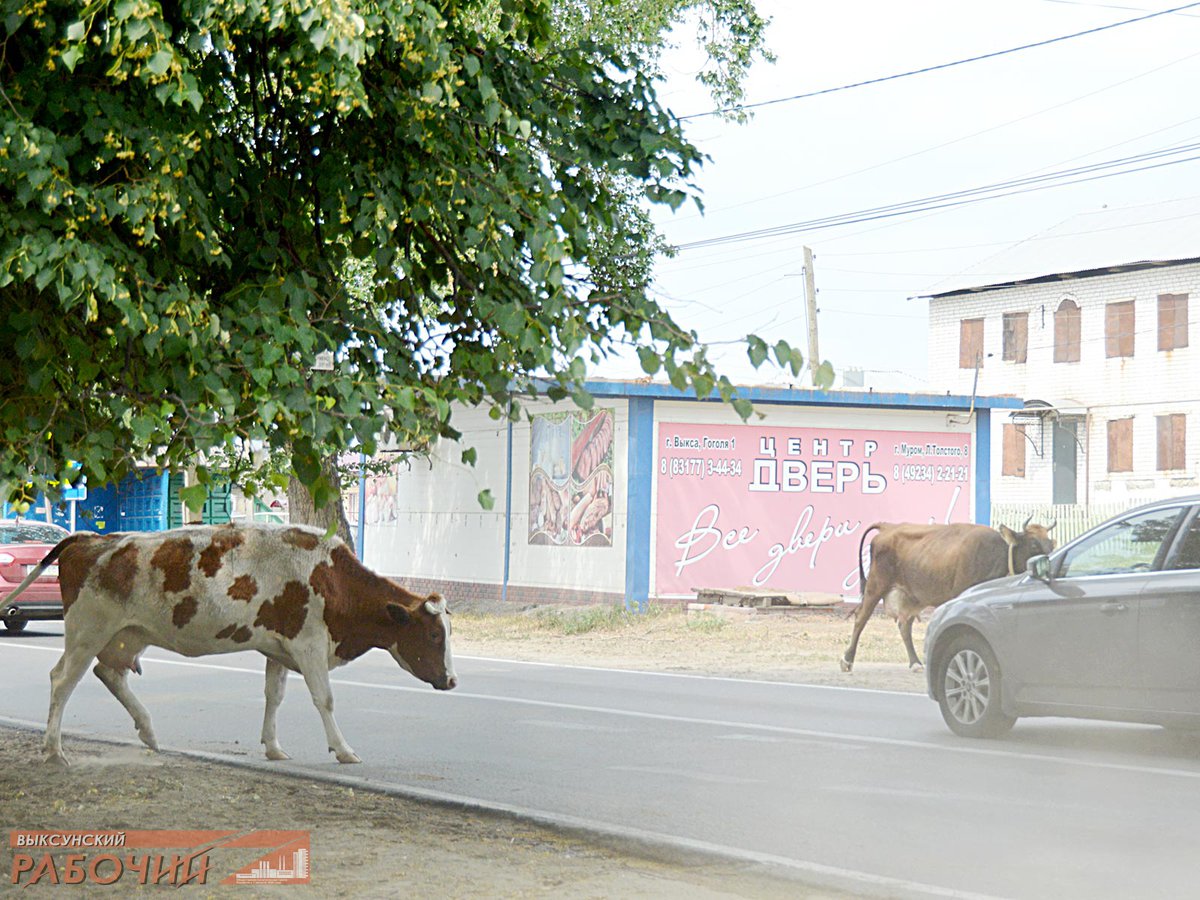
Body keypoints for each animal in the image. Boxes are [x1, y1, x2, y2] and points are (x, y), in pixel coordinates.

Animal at [0, 520, 456, 768]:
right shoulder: (309, 644)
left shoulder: (279, 647)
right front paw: (343, 750)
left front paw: (273, 747)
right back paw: (54, 750)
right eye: (434, 635)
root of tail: (90, 538)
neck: (331, 578)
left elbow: (274, 696)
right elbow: (324, 699)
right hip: (87, 631)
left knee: (109, 673)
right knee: (63, 680)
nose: (452, 681)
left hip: (128, 635)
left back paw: (148, 732)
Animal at [840, 518, 1056, 672]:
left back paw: (915, 663)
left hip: (911, 595)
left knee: (904, 625)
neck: (997, 553)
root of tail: (888, 527)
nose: (1049, 563)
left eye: (1051, 545)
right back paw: (847, 660)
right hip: (876, 585)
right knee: (861, 618)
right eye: (1034, 545)